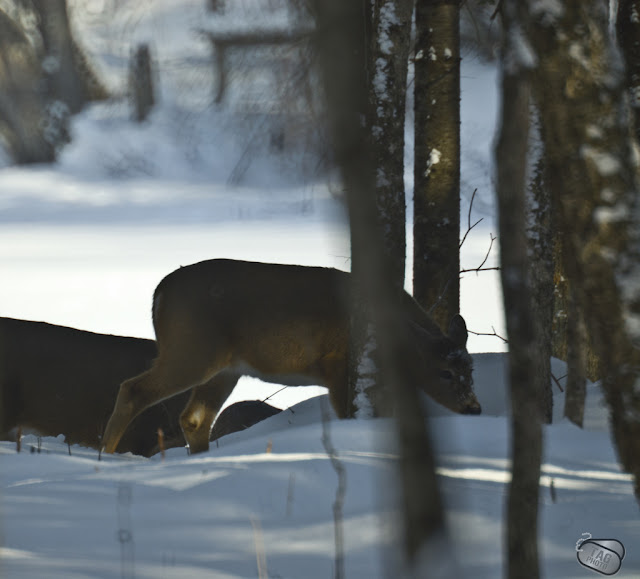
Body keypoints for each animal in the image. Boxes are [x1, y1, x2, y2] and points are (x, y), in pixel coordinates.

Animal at [102, 260, 478, 456]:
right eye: (444, 372)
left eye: (471, 369)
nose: (474, 408)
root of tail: (159, 292)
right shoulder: (338, 365)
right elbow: (348, 414)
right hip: (193, 349)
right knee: (133, 389)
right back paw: (105, 454)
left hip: (225, 368)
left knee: (194, 418)